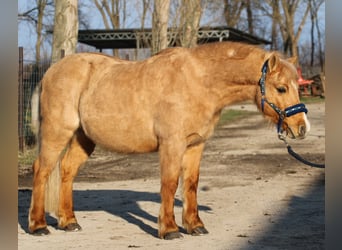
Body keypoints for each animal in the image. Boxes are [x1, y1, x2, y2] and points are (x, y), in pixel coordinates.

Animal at [27, 42, 310, 239]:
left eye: (298, 86)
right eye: (281, 88)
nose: (302, 128)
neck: (198, 81)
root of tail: (50, 72)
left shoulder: (195, 145)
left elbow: (191, 184)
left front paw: (195, 226)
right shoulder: (172, 144)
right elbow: (170, 183)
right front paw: (170, 229)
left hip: (83, 137)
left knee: (67, 171)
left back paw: (69, 222)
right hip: (57, 132)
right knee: (42, 171)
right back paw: (38, 225)